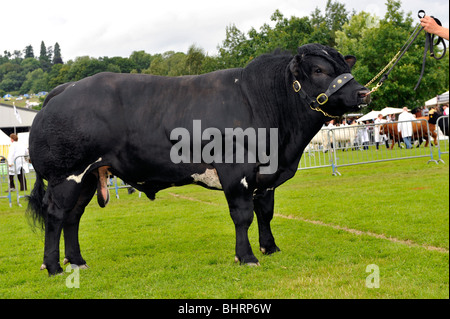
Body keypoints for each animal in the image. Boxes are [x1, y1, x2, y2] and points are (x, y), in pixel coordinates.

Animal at [27, 43, 370, 276]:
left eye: (344, 64)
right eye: (318, 70)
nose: (363, 93)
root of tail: (64, 89)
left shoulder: (266, 177)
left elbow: (266, 212)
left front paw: (270, 248)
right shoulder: (236, 170)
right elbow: (243, 215)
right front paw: (247, 257)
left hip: (87, 177)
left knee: (73, 217)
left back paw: (77, 262)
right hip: (66, 176)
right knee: (56, 215)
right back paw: (53, 266)